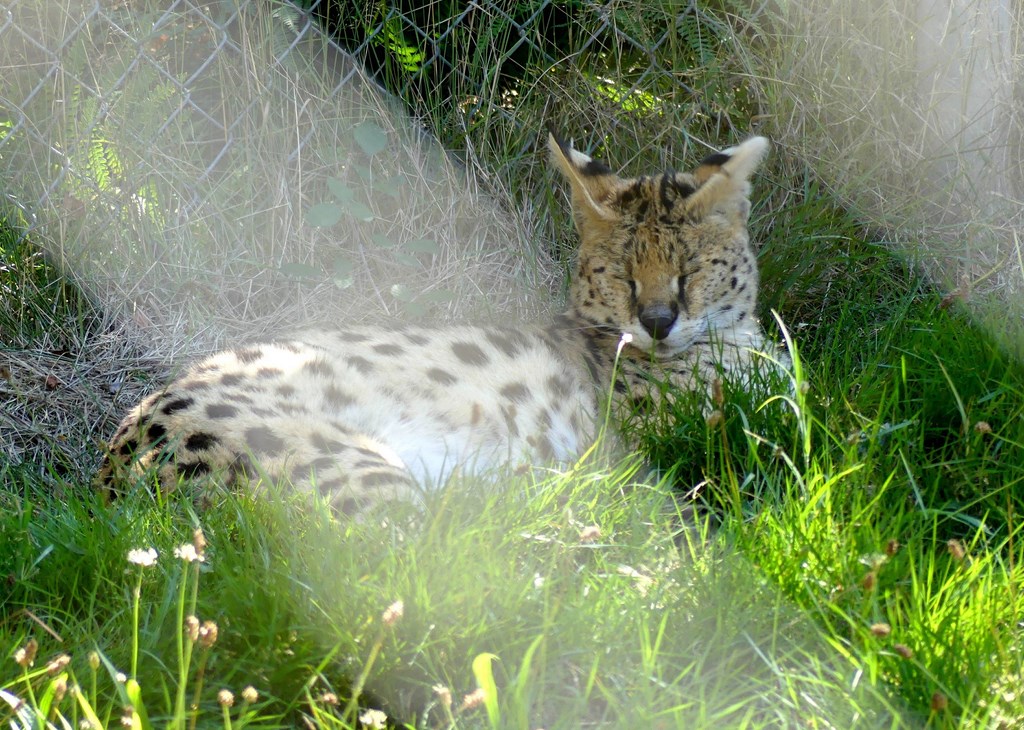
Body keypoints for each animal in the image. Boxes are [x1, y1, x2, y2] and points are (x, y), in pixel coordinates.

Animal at [95, 132, 783, 516]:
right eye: (622, 274)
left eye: (690, 269)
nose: (658, 322)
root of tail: (110, 481)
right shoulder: (692, 425)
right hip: (354, 473)